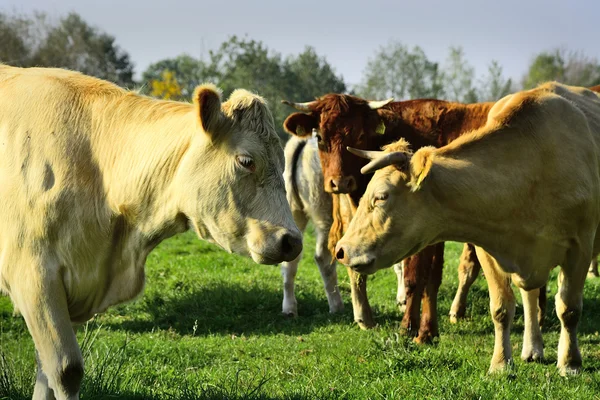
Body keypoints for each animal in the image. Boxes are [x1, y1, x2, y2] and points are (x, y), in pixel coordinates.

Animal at [0, 64, 302, 398]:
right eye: (246, 161)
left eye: (283, 161)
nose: (292, 240)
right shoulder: (33, 274)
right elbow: (66, 370)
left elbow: (46, 371)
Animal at [336, 83, 600, 376]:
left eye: (381, 196)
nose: (340, 250)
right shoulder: (489, 249)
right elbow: (501, 308)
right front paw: (500, 363)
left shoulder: (580, 248)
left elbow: (569, 308)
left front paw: (570, 363)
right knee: (529, 295)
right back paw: (532, 348)